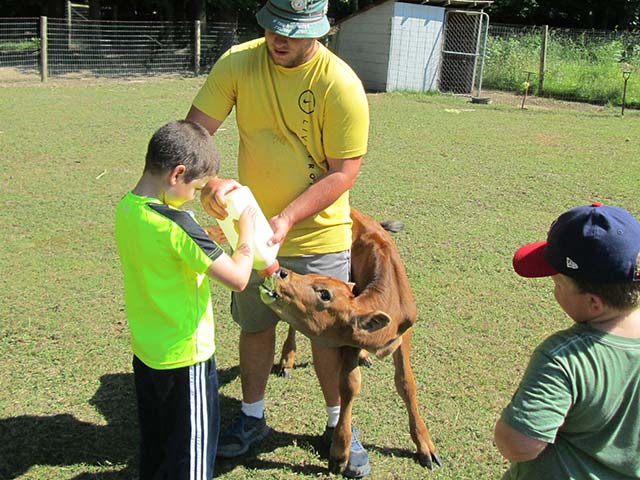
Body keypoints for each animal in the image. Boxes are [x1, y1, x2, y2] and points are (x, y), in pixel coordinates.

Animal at [260, 211, 440, 476]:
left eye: (324, 293)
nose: (283, 273)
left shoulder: (404, 334)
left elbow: (406, 383)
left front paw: (425, 446)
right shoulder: (349, 341)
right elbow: (349, 385)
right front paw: (339, 452)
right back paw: (287, 359)